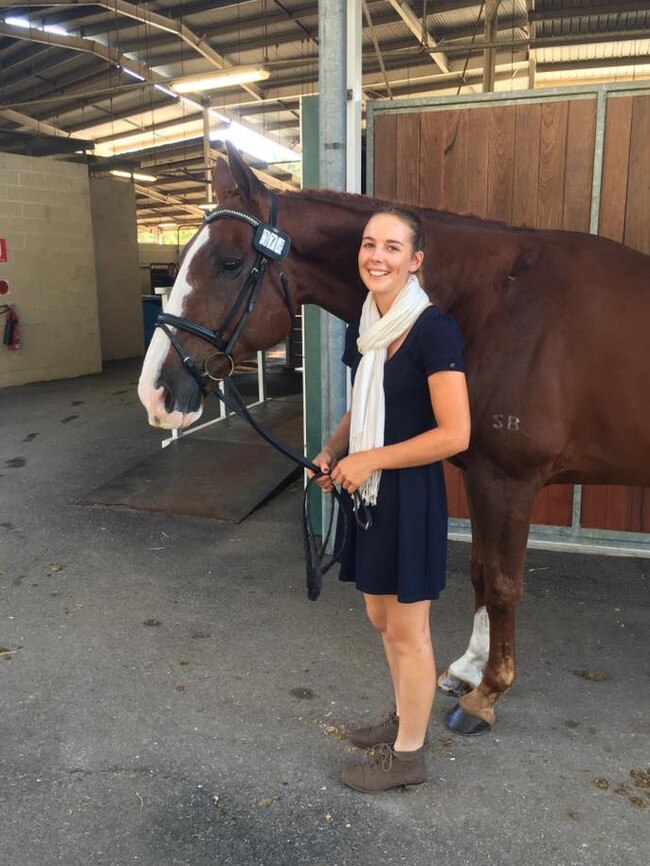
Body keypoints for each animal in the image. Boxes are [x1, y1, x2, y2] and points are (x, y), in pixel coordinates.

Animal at [138, 143, 648, 736]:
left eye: (229, 263)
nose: (154, 392)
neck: (497, 300)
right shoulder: (483, 476)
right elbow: (479, 570)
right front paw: (469, 669)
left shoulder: (510, 480)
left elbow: (502, 583)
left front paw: (488, 692)